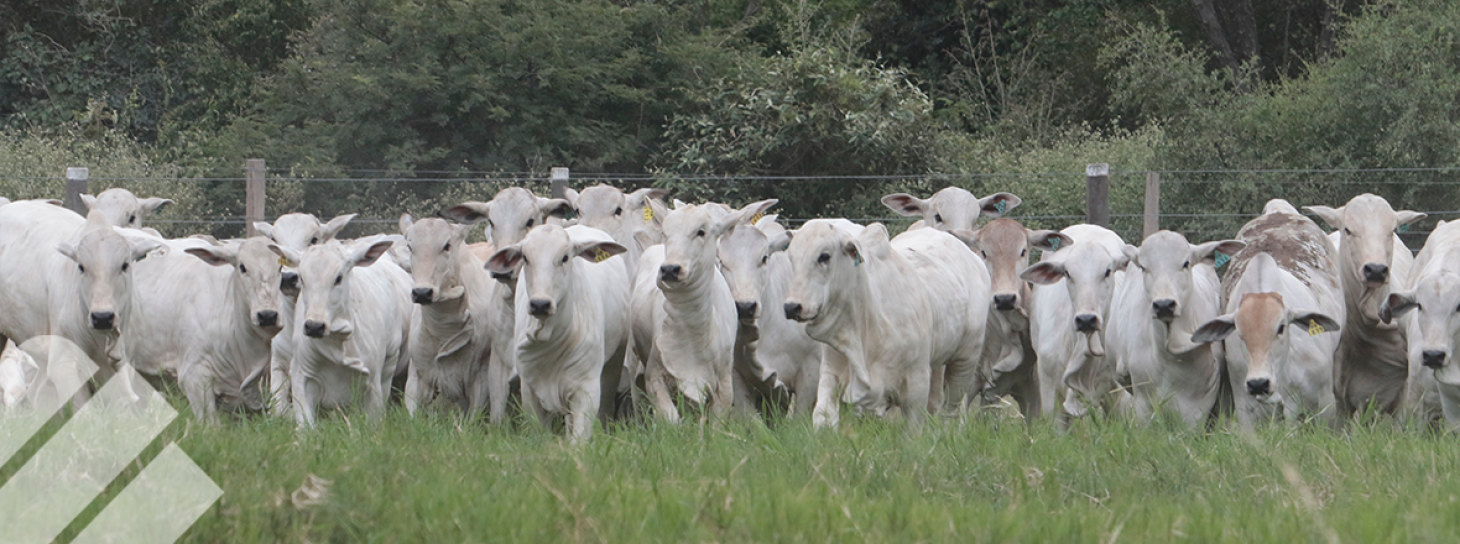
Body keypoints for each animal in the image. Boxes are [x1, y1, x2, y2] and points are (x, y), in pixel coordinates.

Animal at [271, 237, 412, 427]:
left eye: (338, 278)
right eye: (302, 278)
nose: (314, 326)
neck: (336, 341)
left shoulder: (373, 381)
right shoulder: (301, 375)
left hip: (390, 361)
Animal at [484, 225, 629, 441]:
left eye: (565, 257)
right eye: (525, 257)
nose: (540, 304)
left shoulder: (586, 389)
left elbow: (579, 438)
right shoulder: (530, 390)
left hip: (614, 362)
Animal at [630, 199, 777, 422]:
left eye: (701, 231)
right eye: (665, 232)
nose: (670, 269)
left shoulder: (724, 385)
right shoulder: (654, 375)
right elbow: (671, 419)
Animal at [783, 220, 991, 429]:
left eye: (824, 256)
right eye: (791, 258)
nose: (792, 307)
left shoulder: (917, 384)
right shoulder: (831, 372)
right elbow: (823, 415)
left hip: (965, 361)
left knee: (950, 411)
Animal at [1189, 201, 1343, 426]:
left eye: (1281, 328)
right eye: (1239, 333)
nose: (1258, 384)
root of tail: (1278, 207)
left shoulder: (1326, 404)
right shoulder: (1245, 409)